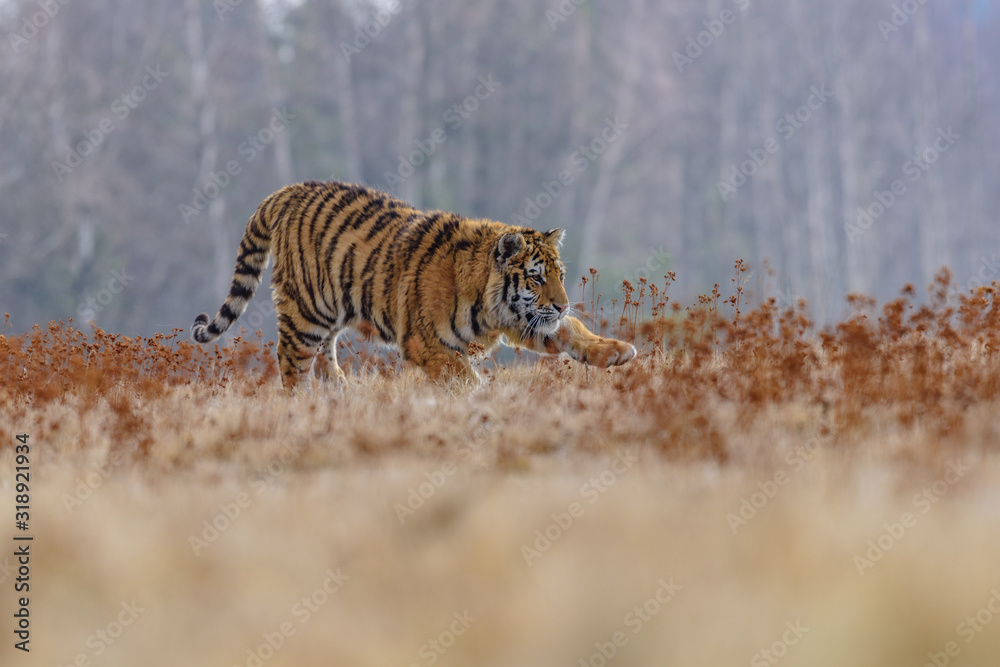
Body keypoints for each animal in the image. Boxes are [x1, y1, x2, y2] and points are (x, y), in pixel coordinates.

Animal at [191, 180, 636, 390]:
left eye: (559, 276)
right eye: (536, 276)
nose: (562, 304)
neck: (490, 301)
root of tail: (287, 191)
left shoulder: (524, 319)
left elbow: (574, 332)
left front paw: (617, 352)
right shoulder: (429, 343)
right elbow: (464, 379)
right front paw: (486, 402)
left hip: (332, 310)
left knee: (323, 355)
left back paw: (340, 393)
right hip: (306, 311)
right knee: (292, 363)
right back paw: (304, 407)